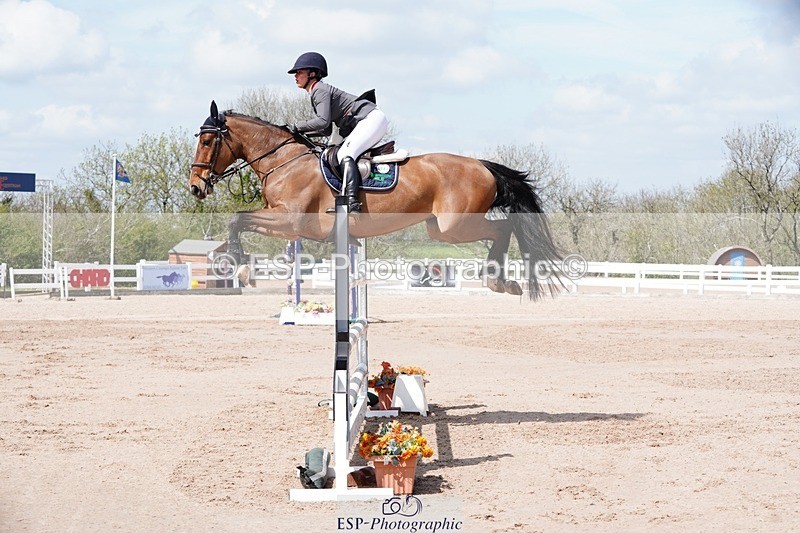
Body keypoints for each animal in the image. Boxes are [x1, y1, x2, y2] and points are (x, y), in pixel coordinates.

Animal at [189, 101, 562, 298]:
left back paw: (498, 279)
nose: (195, 187)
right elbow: (239, 220)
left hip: (454, 226)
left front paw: (238, 267)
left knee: (503, 229)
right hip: (440, 229)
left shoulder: (292, 220)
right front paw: (241, 267)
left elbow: (236, 218)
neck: (284, 161)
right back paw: (500, 279)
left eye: (207, 141)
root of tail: (482, 165)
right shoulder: (285, 223)